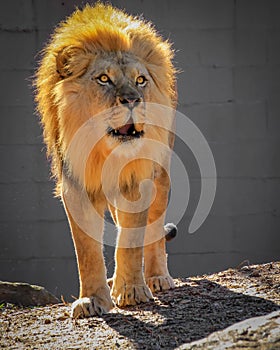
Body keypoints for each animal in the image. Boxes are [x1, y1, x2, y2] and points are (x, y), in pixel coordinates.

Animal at [34, 2, 177, 318]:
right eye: (103, 79)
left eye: (140, 80)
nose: (133, 100)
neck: (105, 151)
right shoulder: (75, 185)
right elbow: (87, 250)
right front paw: (92, 299)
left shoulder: (137, 178)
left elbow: (131, 240)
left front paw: (132, 291)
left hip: (161, 172)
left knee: (154, 229)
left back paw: (157, 277)